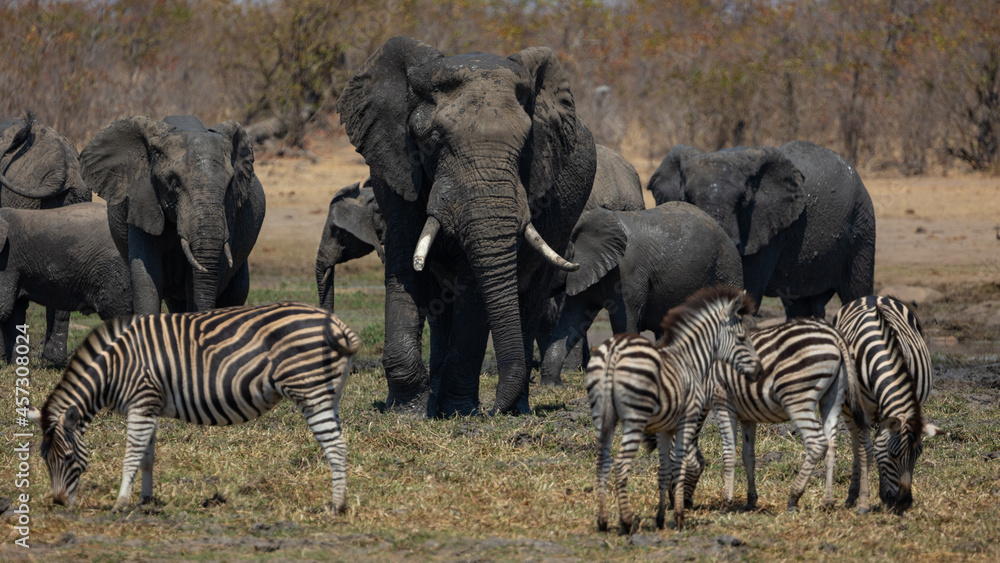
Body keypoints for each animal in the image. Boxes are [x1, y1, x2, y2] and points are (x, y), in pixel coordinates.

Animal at [0, 202, 131, 363]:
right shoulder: (15, 265)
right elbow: (14, 312)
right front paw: (15, 364)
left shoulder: (7, 260)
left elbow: (3, 308)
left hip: (113, 269)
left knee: (117, 312)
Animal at [80, 115, 266, 314]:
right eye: (172, 181)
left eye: (230, 183)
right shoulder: (141, 200)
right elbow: (146, 276)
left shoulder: (229, 211)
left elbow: (197, 280)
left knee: (234, 295)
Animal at [337, 37, 597, 416]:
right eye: (433, 140)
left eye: (526, 144)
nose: (494, 410)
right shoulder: (396, 168)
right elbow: (405, 263)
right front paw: (408, 410)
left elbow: (472, 282)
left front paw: (458, 411)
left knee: (530, 298)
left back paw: (511, 408)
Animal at [647, 140, 875, 319]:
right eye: (687, 198)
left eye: (743, 201)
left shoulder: (769, 228)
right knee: (800, 306)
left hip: (861, 228)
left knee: (856, 294)